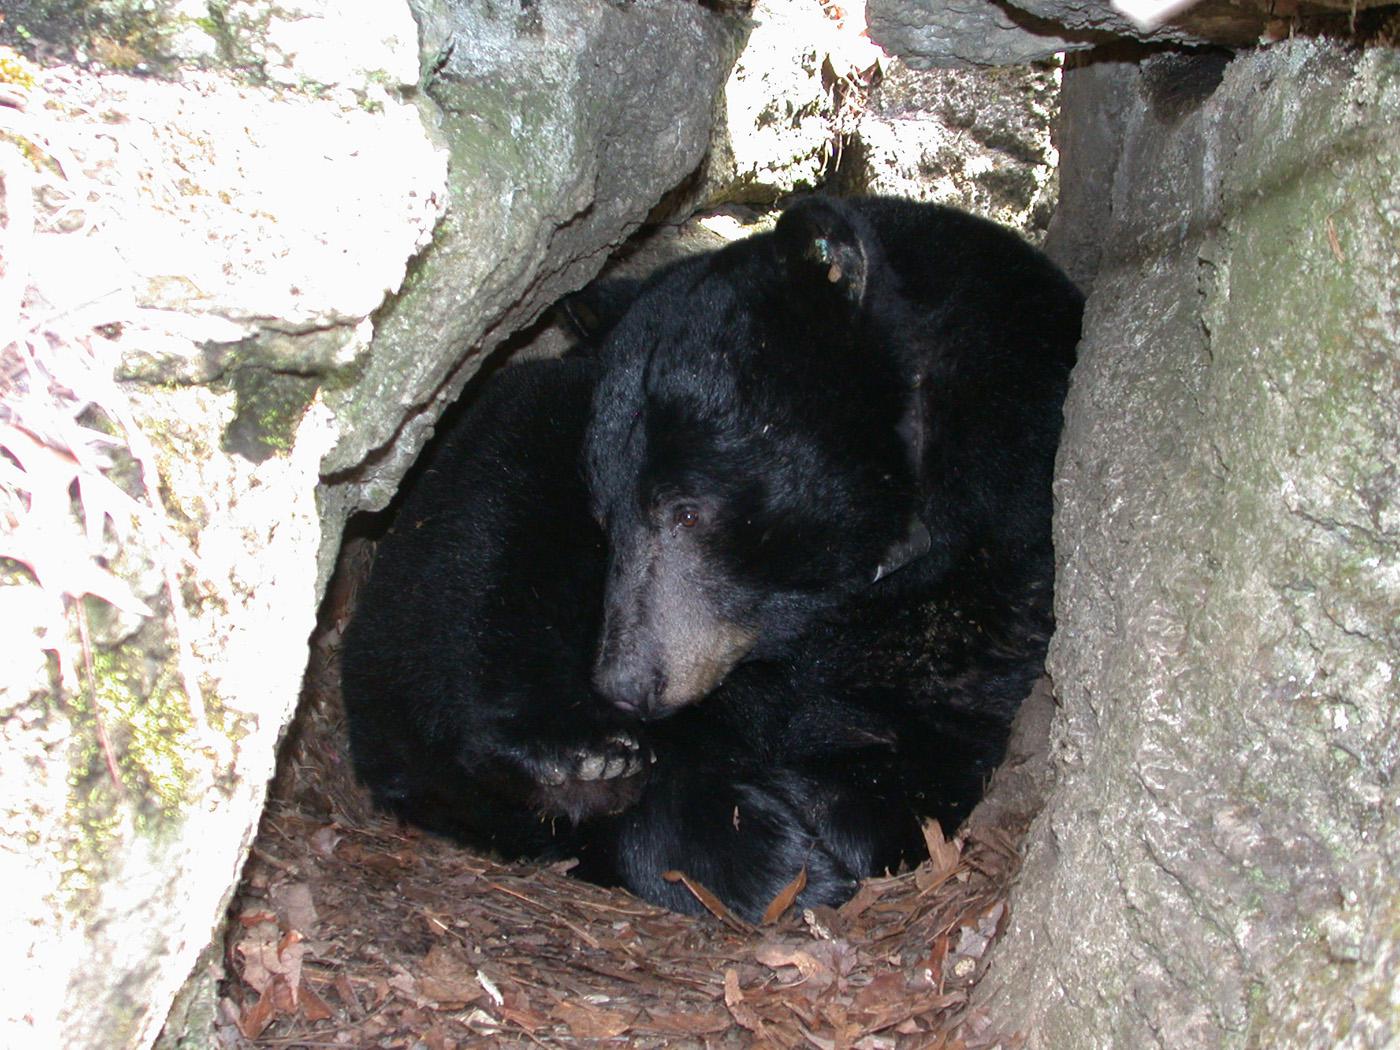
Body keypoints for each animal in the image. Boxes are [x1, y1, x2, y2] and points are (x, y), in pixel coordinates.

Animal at [341, 197, 1080, 918]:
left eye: (687, 509)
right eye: (603, 516)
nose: (625, 684)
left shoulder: (1001, 570)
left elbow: (927, 735)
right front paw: (755, 849)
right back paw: (569, 760)